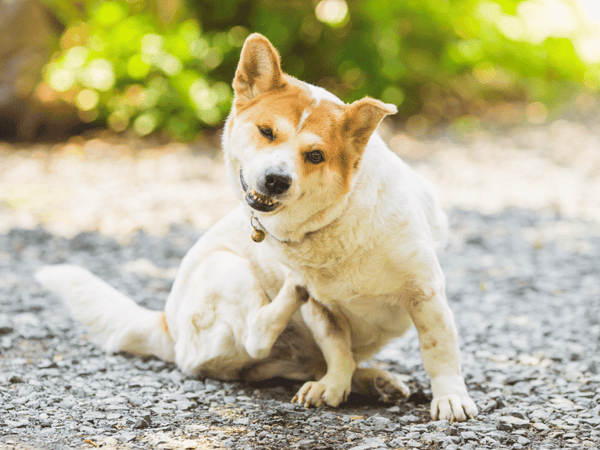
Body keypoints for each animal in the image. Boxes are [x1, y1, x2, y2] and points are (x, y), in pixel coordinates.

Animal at [36, 34, 478, 422]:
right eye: (267, 132)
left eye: (315, 155)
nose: (276, 180)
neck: (336, 220)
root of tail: (166, 327)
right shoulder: (322, 310)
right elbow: (336, 347)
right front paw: (334, 385)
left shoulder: (425, 292)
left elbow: (438, 348)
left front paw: (449, 398)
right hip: (226, 268)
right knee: (257, 334)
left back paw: (373, 380)